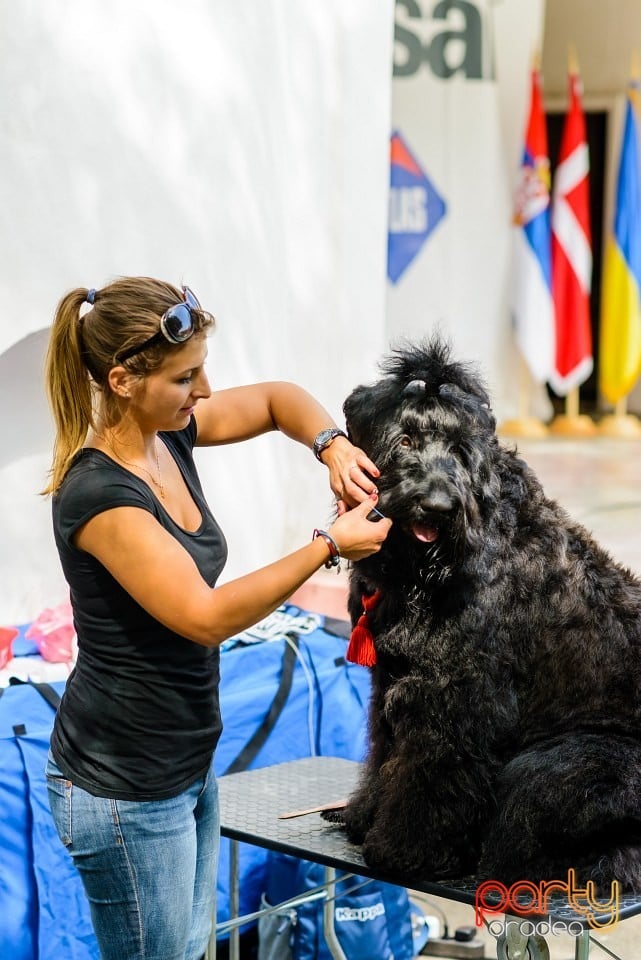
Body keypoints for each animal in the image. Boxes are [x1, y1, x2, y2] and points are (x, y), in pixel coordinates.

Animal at [328, 338, 640, 892]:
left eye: (458, 450)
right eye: (404, 439)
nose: (436, 506)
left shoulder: (458, 695)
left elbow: (432, 776)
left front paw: (405, 851)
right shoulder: (392, 678)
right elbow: (385, 752)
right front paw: (363, 817)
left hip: (565, 765)